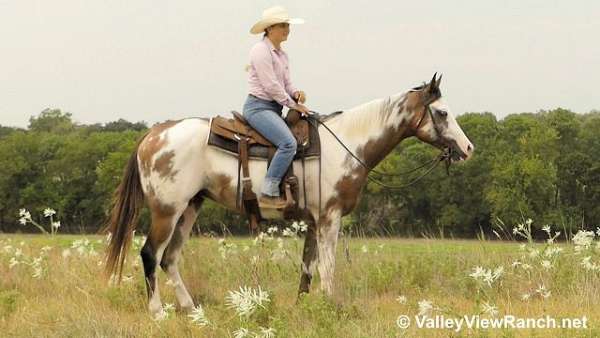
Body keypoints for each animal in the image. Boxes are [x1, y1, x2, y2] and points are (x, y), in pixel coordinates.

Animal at [105, 74, 476, 316]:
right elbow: (328, 266)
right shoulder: (329, 218)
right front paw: (330, 306)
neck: (347, 145)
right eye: (442, 112)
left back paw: (192, 309)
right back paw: (158, 312)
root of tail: (154, 134)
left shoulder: (313, 221)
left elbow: (307, 268)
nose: (469, 148)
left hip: (190, 208)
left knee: (170, 258)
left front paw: (303, 306)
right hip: (167, 210)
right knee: (150, 254)